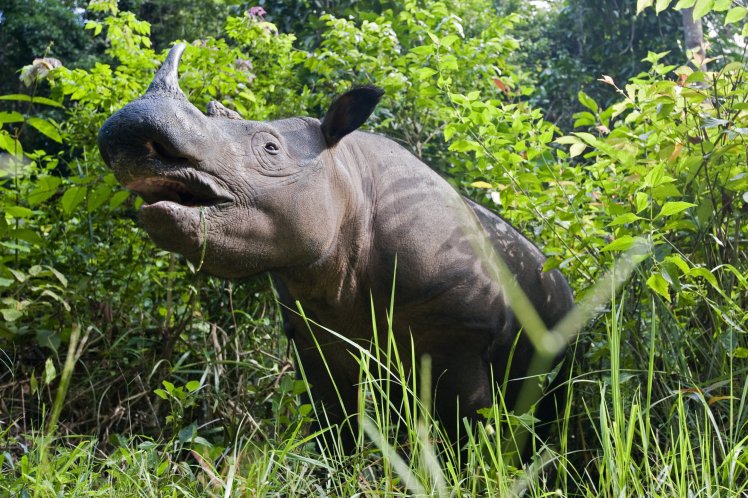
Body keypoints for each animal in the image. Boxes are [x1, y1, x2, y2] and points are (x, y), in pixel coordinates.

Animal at [98, 43, 574, 456]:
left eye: (270, 149)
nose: (129, 139)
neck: (347, 178)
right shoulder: (314, 333)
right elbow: (335, 420)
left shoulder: (463, 332)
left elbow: (470, 426)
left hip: (559, 309)